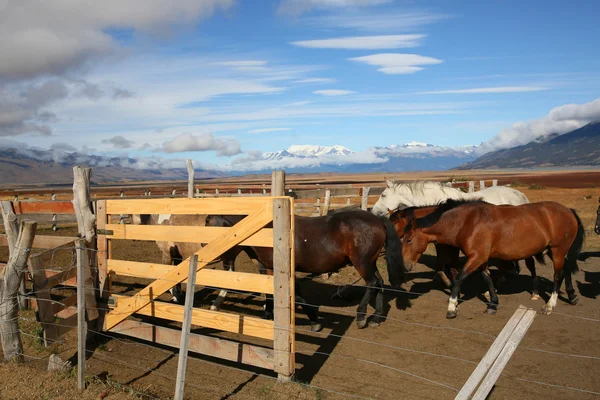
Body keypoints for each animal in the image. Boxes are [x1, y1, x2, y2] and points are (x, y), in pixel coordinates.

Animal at [204, 211, 406, 330]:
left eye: (219, 237)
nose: (217, 261)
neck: (268, 231)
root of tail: (378, 220)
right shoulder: (270, 268)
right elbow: (271, 293)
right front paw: (268, 313)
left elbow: (297, 295)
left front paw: (314, 321)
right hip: (371, 262)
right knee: (380, 283)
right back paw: (376, 318)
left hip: (362, 263)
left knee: (373, 283)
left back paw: (361, 317)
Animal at [392, 199, 584, 318]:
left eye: (408, 240)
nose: (404, 265)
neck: (467, 223)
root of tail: (568, 210)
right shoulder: (481, 258)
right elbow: (487, 278)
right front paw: (492, 303)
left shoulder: (475, 257)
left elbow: (458, 278)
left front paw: (452, 307)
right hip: (553, 251)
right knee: (566, 269)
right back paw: (572, 296)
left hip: (558, 250)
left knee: (557, 275)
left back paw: (550, 305)